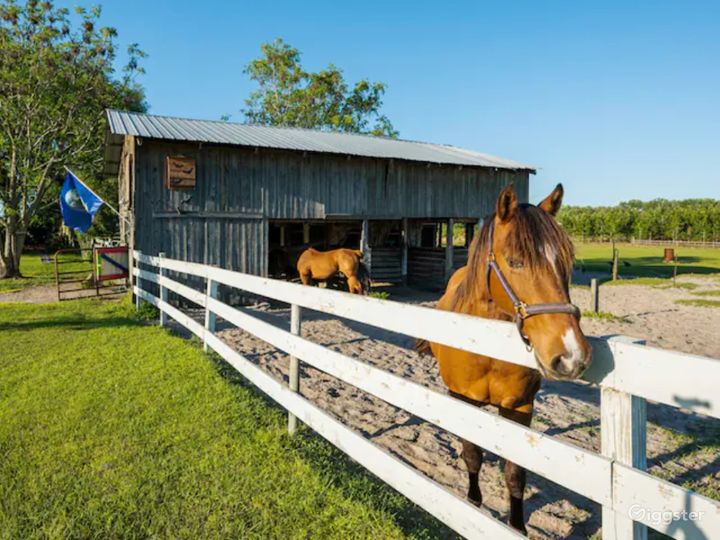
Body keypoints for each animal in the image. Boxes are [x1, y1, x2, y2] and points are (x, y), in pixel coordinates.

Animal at [422, 184, 592, 532]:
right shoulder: (463, 399)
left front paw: (517, 525)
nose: (572, 357)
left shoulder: (520, 407)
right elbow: (472, 454)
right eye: (515, 261)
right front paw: (473, 503)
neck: (486, 348)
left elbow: (515, 472)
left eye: (566, 260)